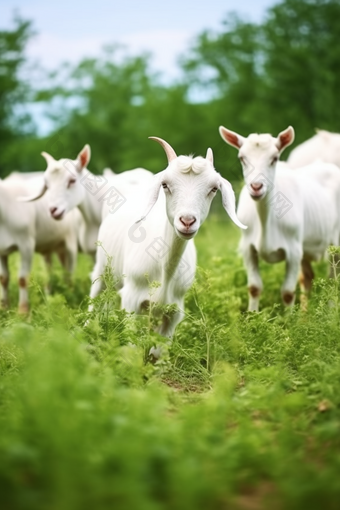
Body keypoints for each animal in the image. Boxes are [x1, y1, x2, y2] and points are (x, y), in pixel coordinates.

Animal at [89, 135, 246, 342]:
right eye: (165, 185)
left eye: (213, 189)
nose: (187, 221)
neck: (165, 270)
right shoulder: (131, 300)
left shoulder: (174, 311)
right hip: (102, 266)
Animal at [218, 126, 340, 310]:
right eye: (242, 158)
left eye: (274, 158)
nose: (256, 186)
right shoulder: (247, 248)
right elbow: (254, 287)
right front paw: (253, 316)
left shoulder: (294, 251)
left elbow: (288, 292)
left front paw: (290, 318)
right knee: (307, 278)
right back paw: (304, 315)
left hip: (334, 243)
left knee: (332, 279)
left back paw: (331, 311)